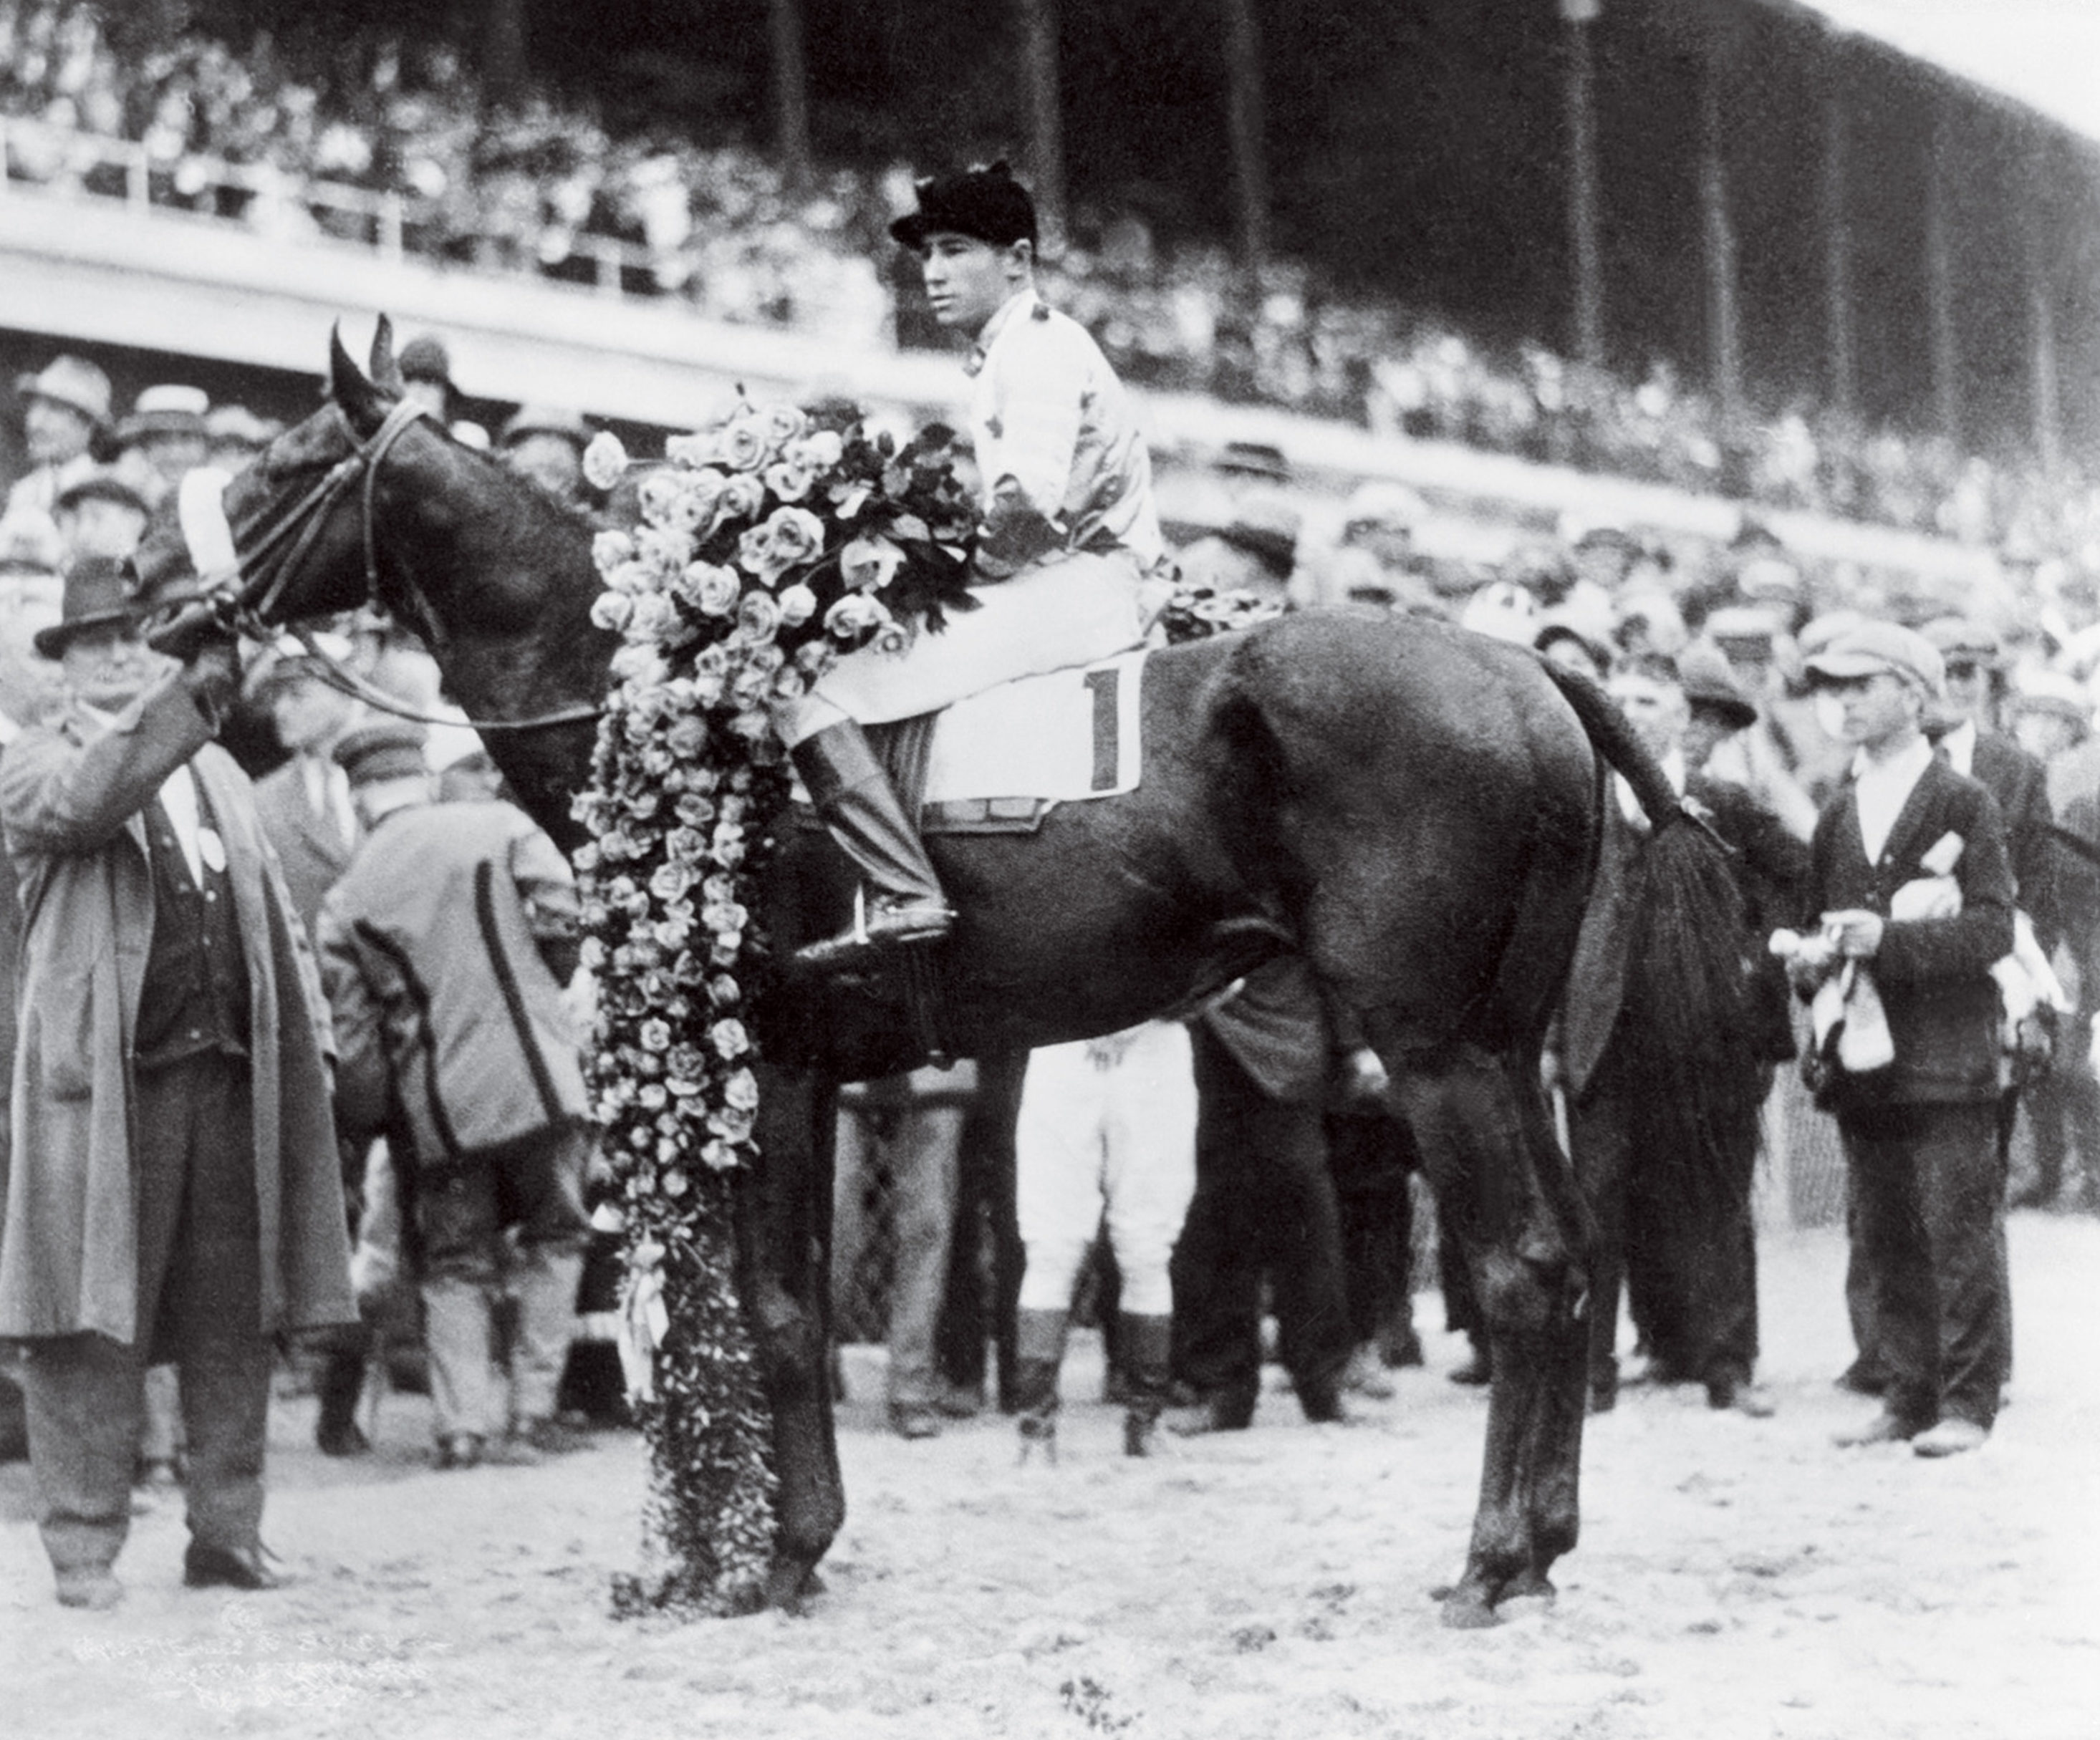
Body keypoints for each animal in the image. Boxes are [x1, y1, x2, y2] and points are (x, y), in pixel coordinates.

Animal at [148, 323, 1747, 1628]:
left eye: (282, 460)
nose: (143, 593)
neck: (672, 694)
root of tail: (1530, 673)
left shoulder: (772, 1068)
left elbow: (775, 1316)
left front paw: (772, 1558)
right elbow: (771, 1309)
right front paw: (771, 1549)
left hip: (1437, 1055)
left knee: (1524, 1269)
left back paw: (1492, 1558)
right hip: (1504, 1049)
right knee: (1567, 1259)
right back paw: (1539, 1544)